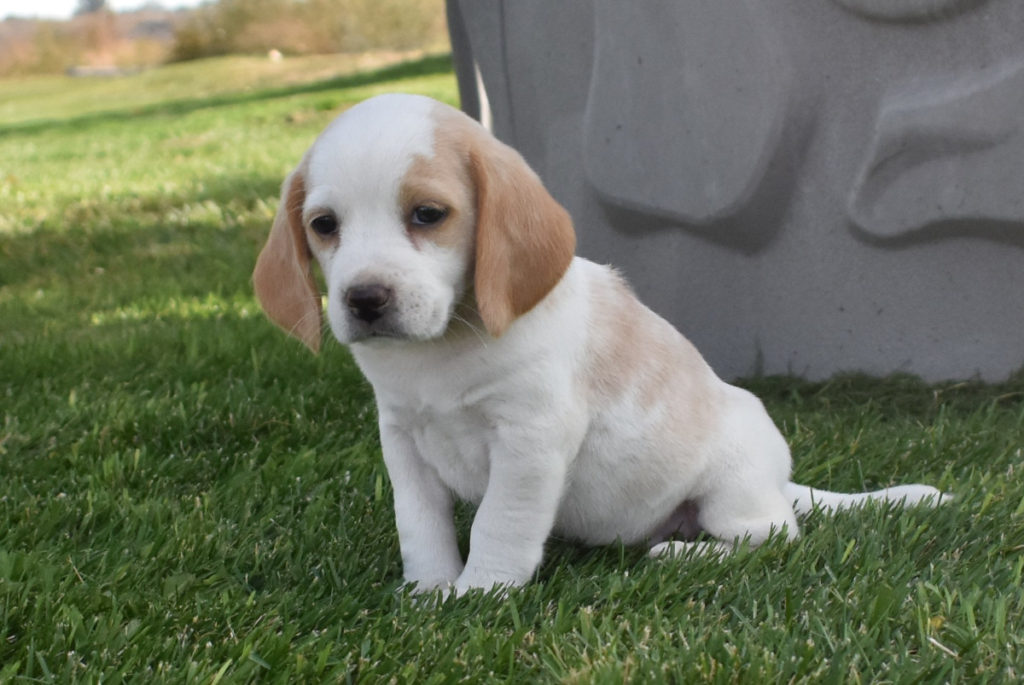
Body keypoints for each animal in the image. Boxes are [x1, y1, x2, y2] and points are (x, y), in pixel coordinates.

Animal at [251, 93, 946, 593]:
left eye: (428, 214)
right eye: (324, 226)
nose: (364, 299)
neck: (442, 354)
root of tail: (781, 478)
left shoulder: (530, 439)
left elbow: (498, 525)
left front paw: (477, 596)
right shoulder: (403, 441)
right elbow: (419, 526)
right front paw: (428, 593)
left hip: (731, 489)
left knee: (775, 536)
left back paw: (679, 554)